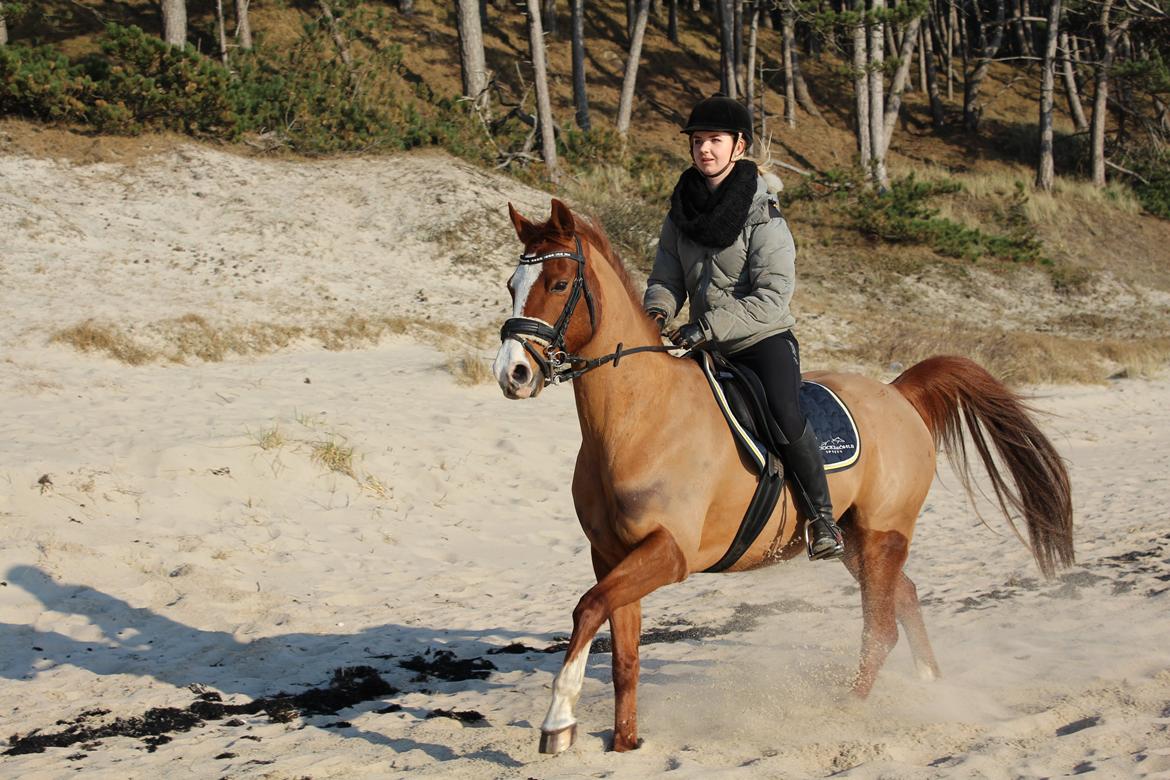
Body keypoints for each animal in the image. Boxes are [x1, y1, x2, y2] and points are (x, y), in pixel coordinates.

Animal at [489, 198, 1071, 753]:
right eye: (513, 285)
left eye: (559, 284)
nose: (512, 374)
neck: (639, 418)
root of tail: (899, 393)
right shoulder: (610, 555)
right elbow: (622, 653)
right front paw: (626, 742)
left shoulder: (670, 554)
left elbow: (587, 609)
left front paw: (558, 721)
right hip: (859, 542)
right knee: (903, 597)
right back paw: (931, 686)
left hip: (882, 534)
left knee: (881, 627)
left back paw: (847, 708)